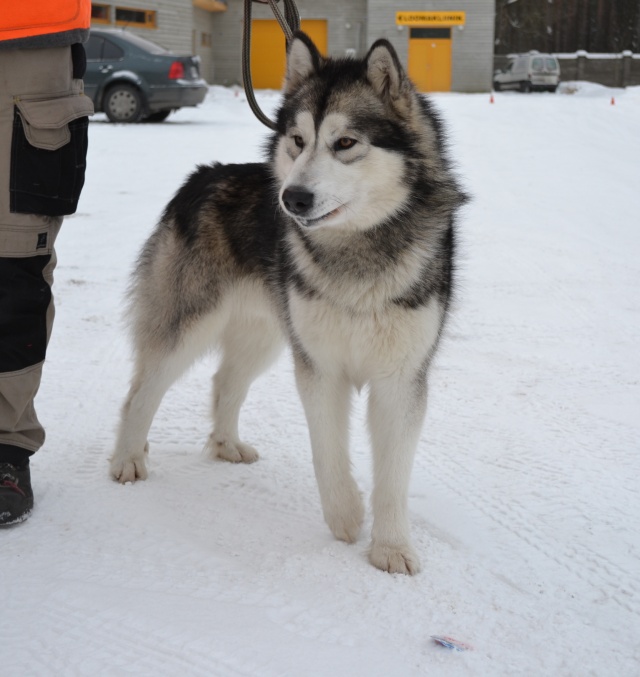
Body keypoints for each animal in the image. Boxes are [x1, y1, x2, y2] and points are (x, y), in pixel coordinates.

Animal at [109, 32, 467, 575]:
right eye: (298, 141)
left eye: (345, 143)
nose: (292, 198)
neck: (355, 250)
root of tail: (201, 176)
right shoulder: (318, 366)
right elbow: (327, 452)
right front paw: (345, 515)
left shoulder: (401, 376)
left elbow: (393, 475)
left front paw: (391, 548)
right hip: (190, 323)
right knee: (140, 391)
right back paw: (128, 459)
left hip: (265, 333)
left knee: (224, 382)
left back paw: (226, 445)